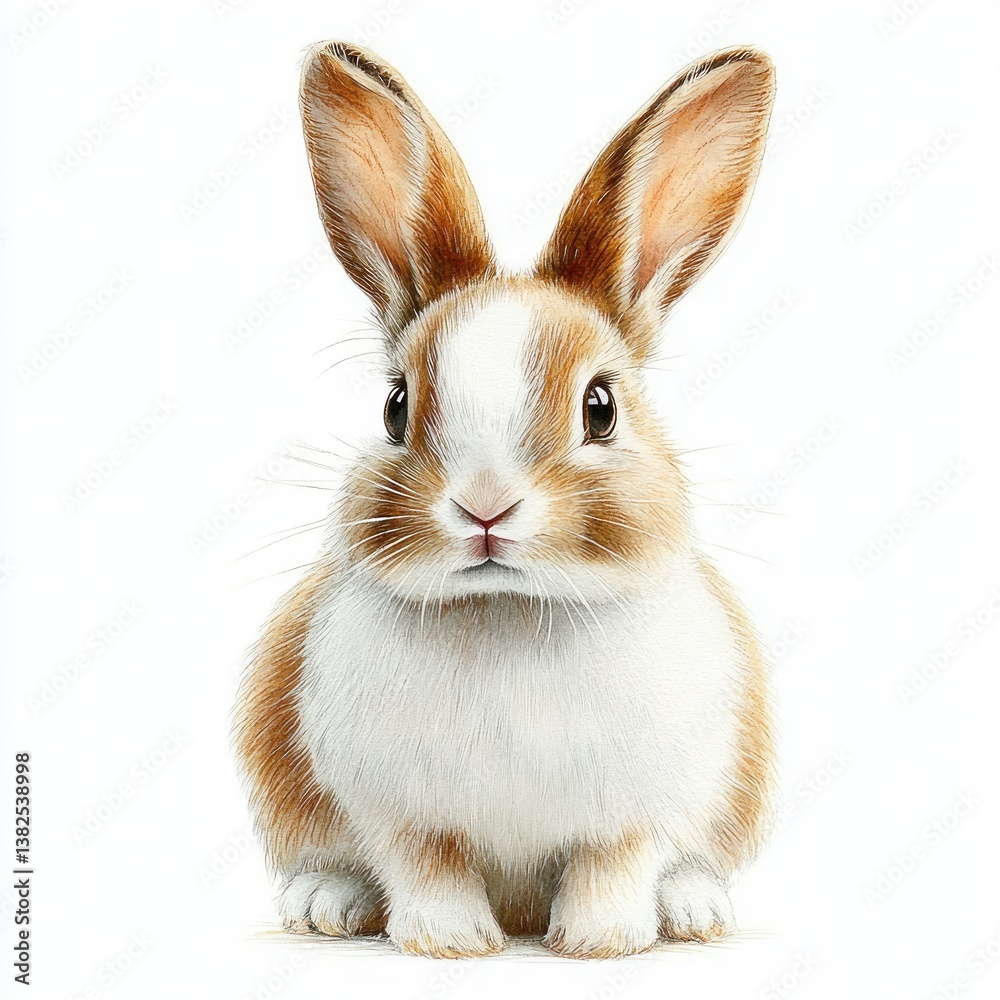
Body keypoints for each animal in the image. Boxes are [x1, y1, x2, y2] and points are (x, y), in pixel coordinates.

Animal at [234, 40, 776, 959]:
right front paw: (451, 942)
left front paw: (600, 942)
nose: (485, 508)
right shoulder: (398, 810)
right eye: (395, 407)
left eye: (601, 407)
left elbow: (615, 862)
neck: (512, 611)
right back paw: (326, 905)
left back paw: (695, 911)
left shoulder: (639, 807)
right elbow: (426, 864)